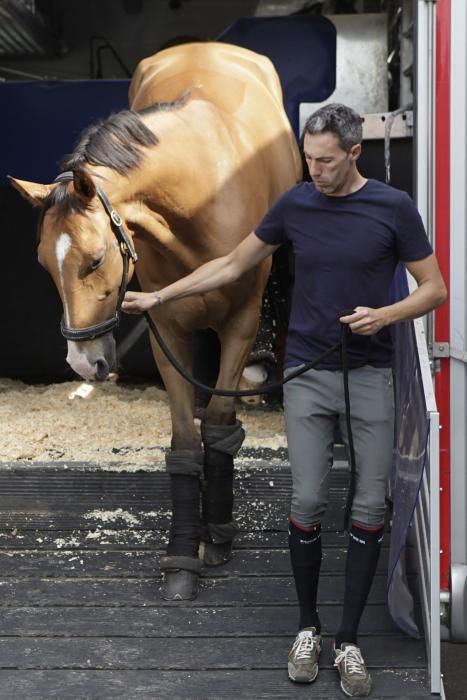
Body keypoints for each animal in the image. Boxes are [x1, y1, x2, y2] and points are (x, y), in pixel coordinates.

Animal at [11, 42, 304, 600]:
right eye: (42, 263)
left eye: (95, 259)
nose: (82, 362)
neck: (200, 194)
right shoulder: (166, 329)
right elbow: (186, 444)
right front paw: (183, 556)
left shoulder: (240, 323)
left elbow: (218, 426)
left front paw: (218, 536)